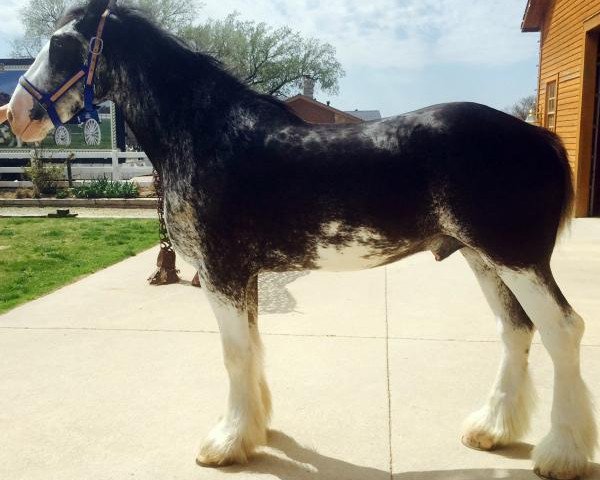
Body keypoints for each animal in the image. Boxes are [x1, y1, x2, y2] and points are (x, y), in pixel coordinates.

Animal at [3, 1, 596, 478]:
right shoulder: (241, 275)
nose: (16, 115)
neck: (206, 133)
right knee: (515, 331)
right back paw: (491, 430)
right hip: (483, 258)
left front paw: (226, 444)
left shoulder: (221, 272)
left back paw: (561, 454)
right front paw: (255, 431)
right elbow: (252, 348)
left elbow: (235, 354)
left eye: (63, 45)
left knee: (562, 331)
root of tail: (538, 135)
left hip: (517, 259)